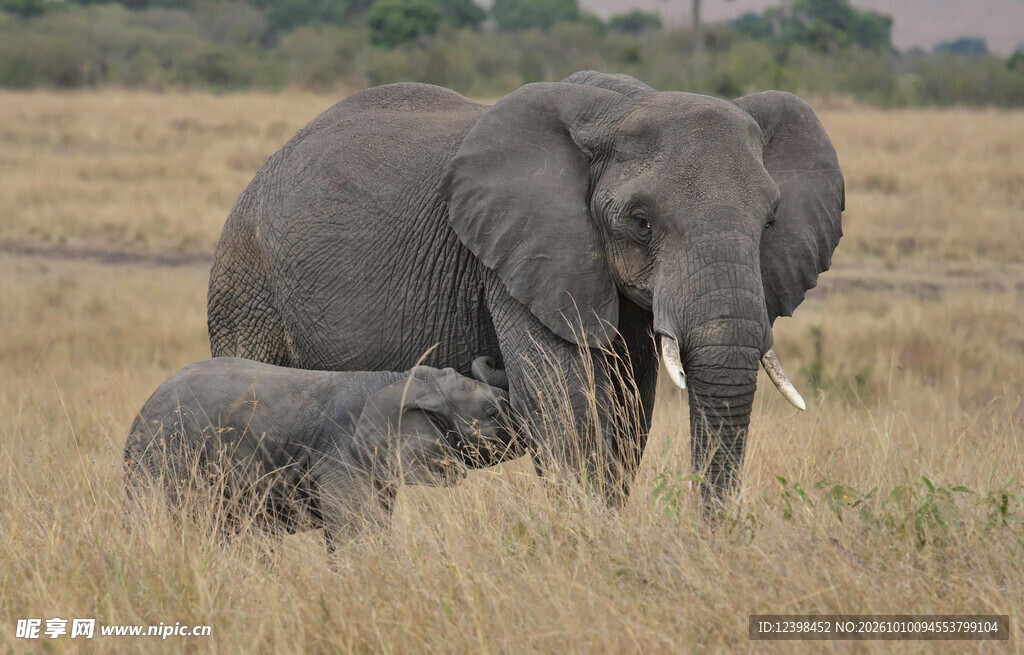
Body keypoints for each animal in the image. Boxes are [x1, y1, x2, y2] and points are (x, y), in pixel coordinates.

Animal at [206, 70, 844, 509]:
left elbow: (626, 410)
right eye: (641, 223)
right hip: (245, 277)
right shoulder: (519, 256)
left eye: (770, 222)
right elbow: (565, 403)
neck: (624, 106)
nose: (709, 536)